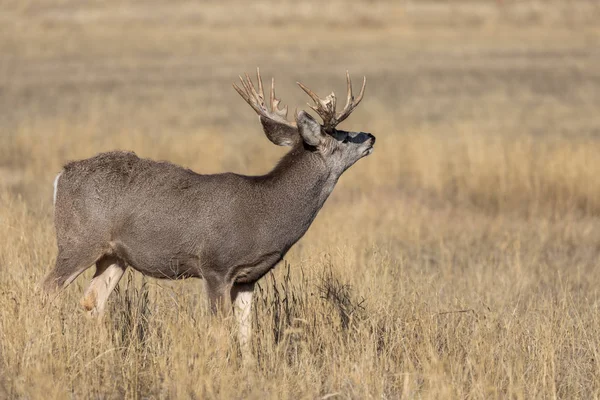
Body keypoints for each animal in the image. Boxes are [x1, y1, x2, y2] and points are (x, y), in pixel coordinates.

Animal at [43, 68, 376, 354]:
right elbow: (220, 332)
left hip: (114, 255)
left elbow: (245, 334)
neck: (265, 212)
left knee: (91, 301)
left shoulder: (247, 277)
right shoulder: (215, 265)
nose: (371, 136)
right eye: (342, 135)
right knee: (48, 289)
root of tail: (61, 175)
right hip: (78, 241)